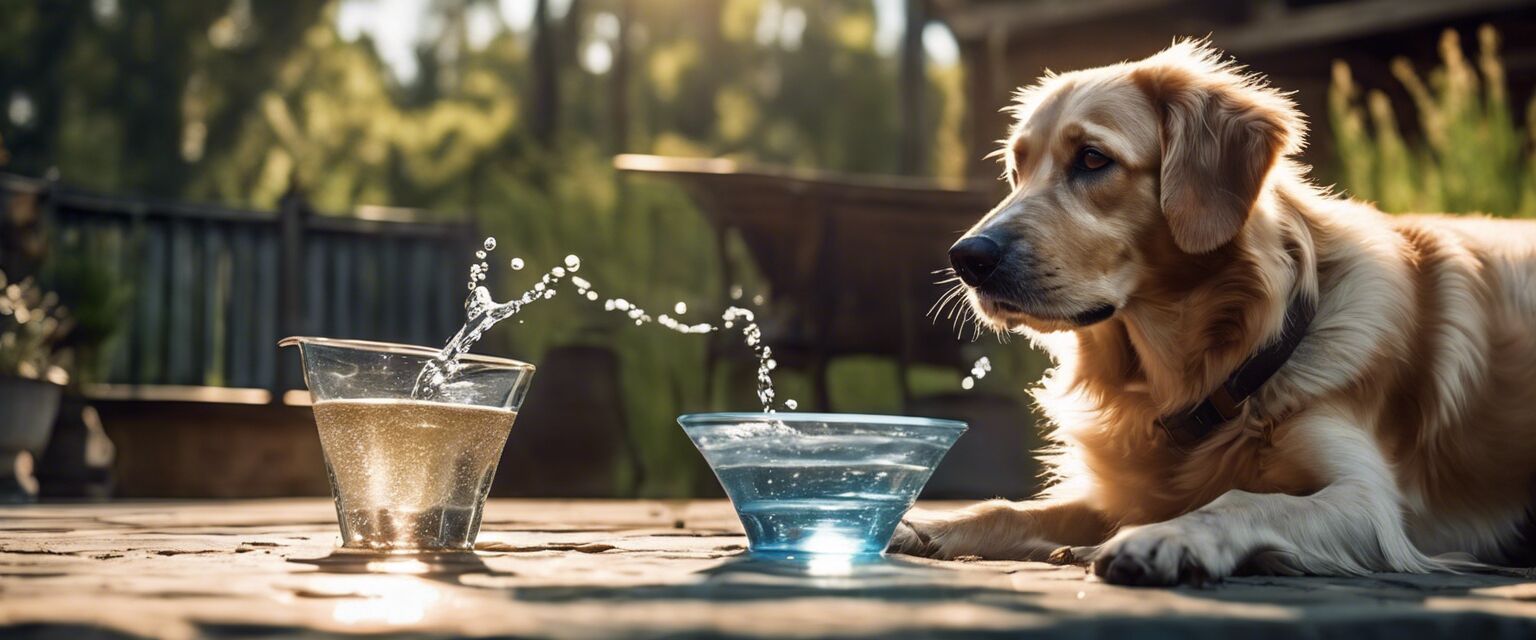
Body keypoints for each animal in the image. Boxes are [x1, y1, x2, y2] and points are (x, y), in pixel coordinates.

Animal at [890, 41, 1536, 589]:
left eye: (1092, 159)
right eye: (1017, 169)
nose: (967, 259)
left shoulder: (1369, 505)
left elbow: (1238, 499)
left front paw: (1164, 537)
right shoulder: (1115, 493)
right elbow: (1010, 509)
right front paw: (924, 524)